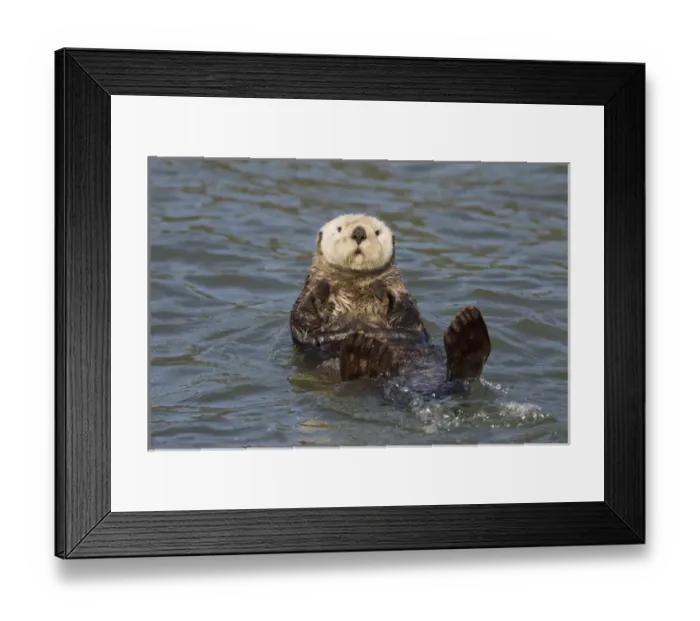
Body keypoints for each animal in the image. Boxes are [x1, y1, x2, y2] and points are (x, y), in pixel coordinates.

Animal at [289, 214, 491, 388]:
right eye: (339, 229)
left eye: (377, 232)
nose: (359, 233)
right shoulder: (306, 294)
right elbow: (302, 318)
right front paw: (322, 290)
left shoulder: (401, 292)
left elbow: (407, 313)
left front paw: (381, 290)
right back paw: (364, 355)